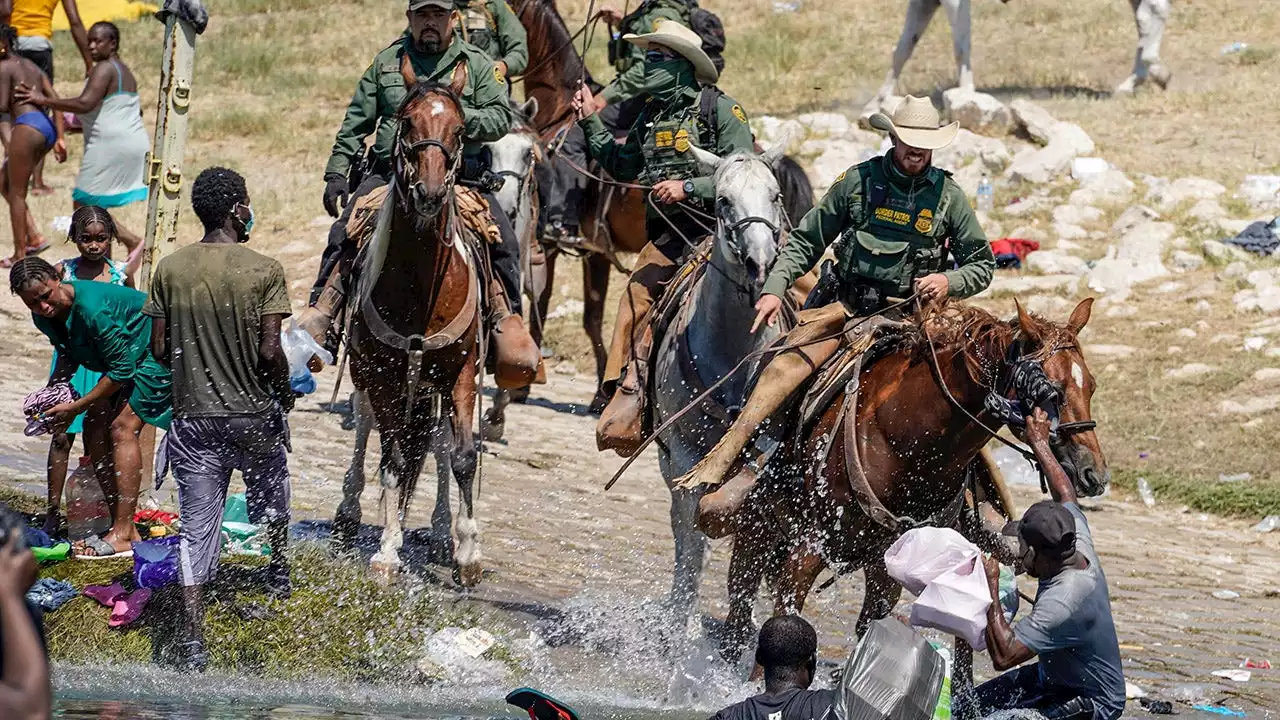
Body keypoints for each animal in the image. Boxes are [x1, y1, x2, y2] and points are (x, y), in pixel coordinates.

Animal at [330, 57, 483, 584]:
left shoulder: (460, 372)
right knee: (365, 429)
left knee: (435, 443)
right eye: (407, 122)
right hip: (368, 377)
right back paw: (349, 514)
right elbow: (393, 458)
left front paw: (467, 552)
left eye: (460, 128)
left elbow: (461, 456)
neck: (421, 286)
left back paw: (439, 532)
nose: (431, 193)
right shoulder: (383, 376)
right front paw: (387, 550)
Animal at [727, 294, 1105, 686]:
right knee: (738, 606)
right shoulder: (809, 547)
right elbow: (783, 621)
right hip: (757, 523)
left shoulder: (886, 563)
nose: (1093, 472)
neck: (906, 439)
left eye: (1091, 386)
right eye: (1053, 392)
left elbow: (871, 627)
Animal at [870, 0, 1172, 109]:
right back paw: (1132, 83)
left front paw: (966, 96)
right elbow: (903, 48)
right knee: (1144, 18)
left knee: (1153, 12)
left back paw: (1156, 70)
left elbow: (961, 47)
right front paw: (880, 99)